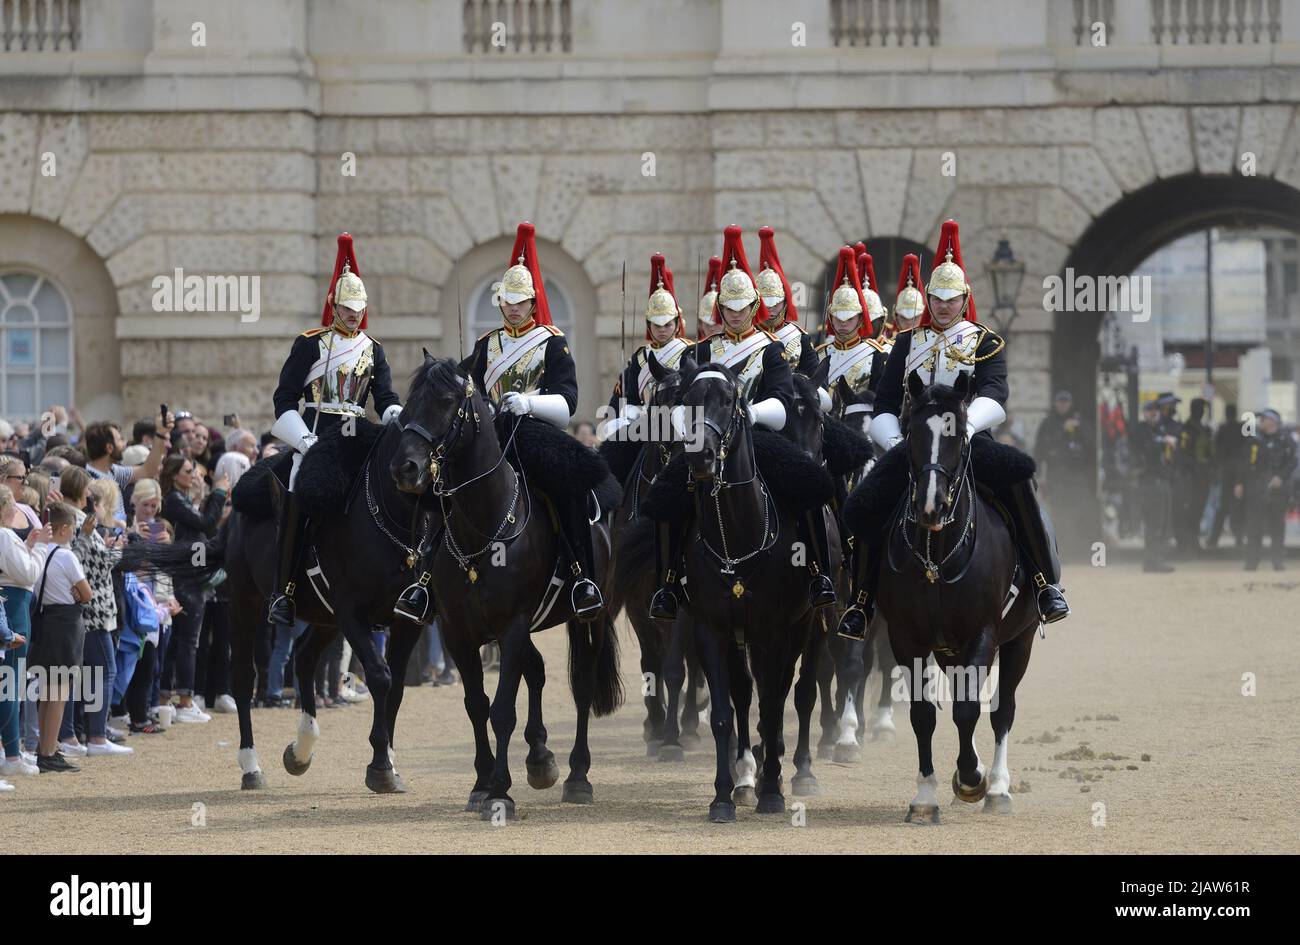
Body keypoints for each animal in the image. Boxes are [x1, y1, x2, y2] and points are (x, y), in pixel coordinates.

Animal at [388, 355, 622, 821]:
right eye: (409, 399)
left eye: (446, 401)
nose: (405, 468)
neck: (483, 530)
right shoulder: (458, 633)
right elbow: (477, 706)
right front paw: (482, 784)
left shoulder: (512, 627)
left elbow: (501, 711)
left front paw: (500, 792)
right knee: (537, 670)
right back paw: (540, 757)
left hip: (591, 616)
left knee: (583, 684)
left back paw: (577, 775)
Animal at [671, 357, 819, 822]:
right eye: (687, 400)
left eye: (729, 400)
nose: (699, 457)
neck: (735, 536)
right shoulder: (711, 631)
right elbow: (722, 712)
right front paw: (723, 794)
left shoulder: (774, 631)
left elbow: (772, 707)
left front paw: (772, 790)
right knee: (743, 692)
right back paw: (745, 775)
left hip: (804, 627)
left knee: (791, 690)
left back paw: (784, 768)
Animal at [872, 373, 1039, 821]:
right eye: (911, 432)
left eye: (960, 435)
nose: (930, 506)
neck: (937, 554)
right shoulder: (906, 639)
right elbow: (923, 713)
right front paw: (925, 797)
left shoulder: (984, 632)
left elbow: (968, 709)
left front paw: (972, 779)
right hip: (949, 650)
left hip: (1020, 639)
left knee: (1002, 709)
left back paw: (996, 786)